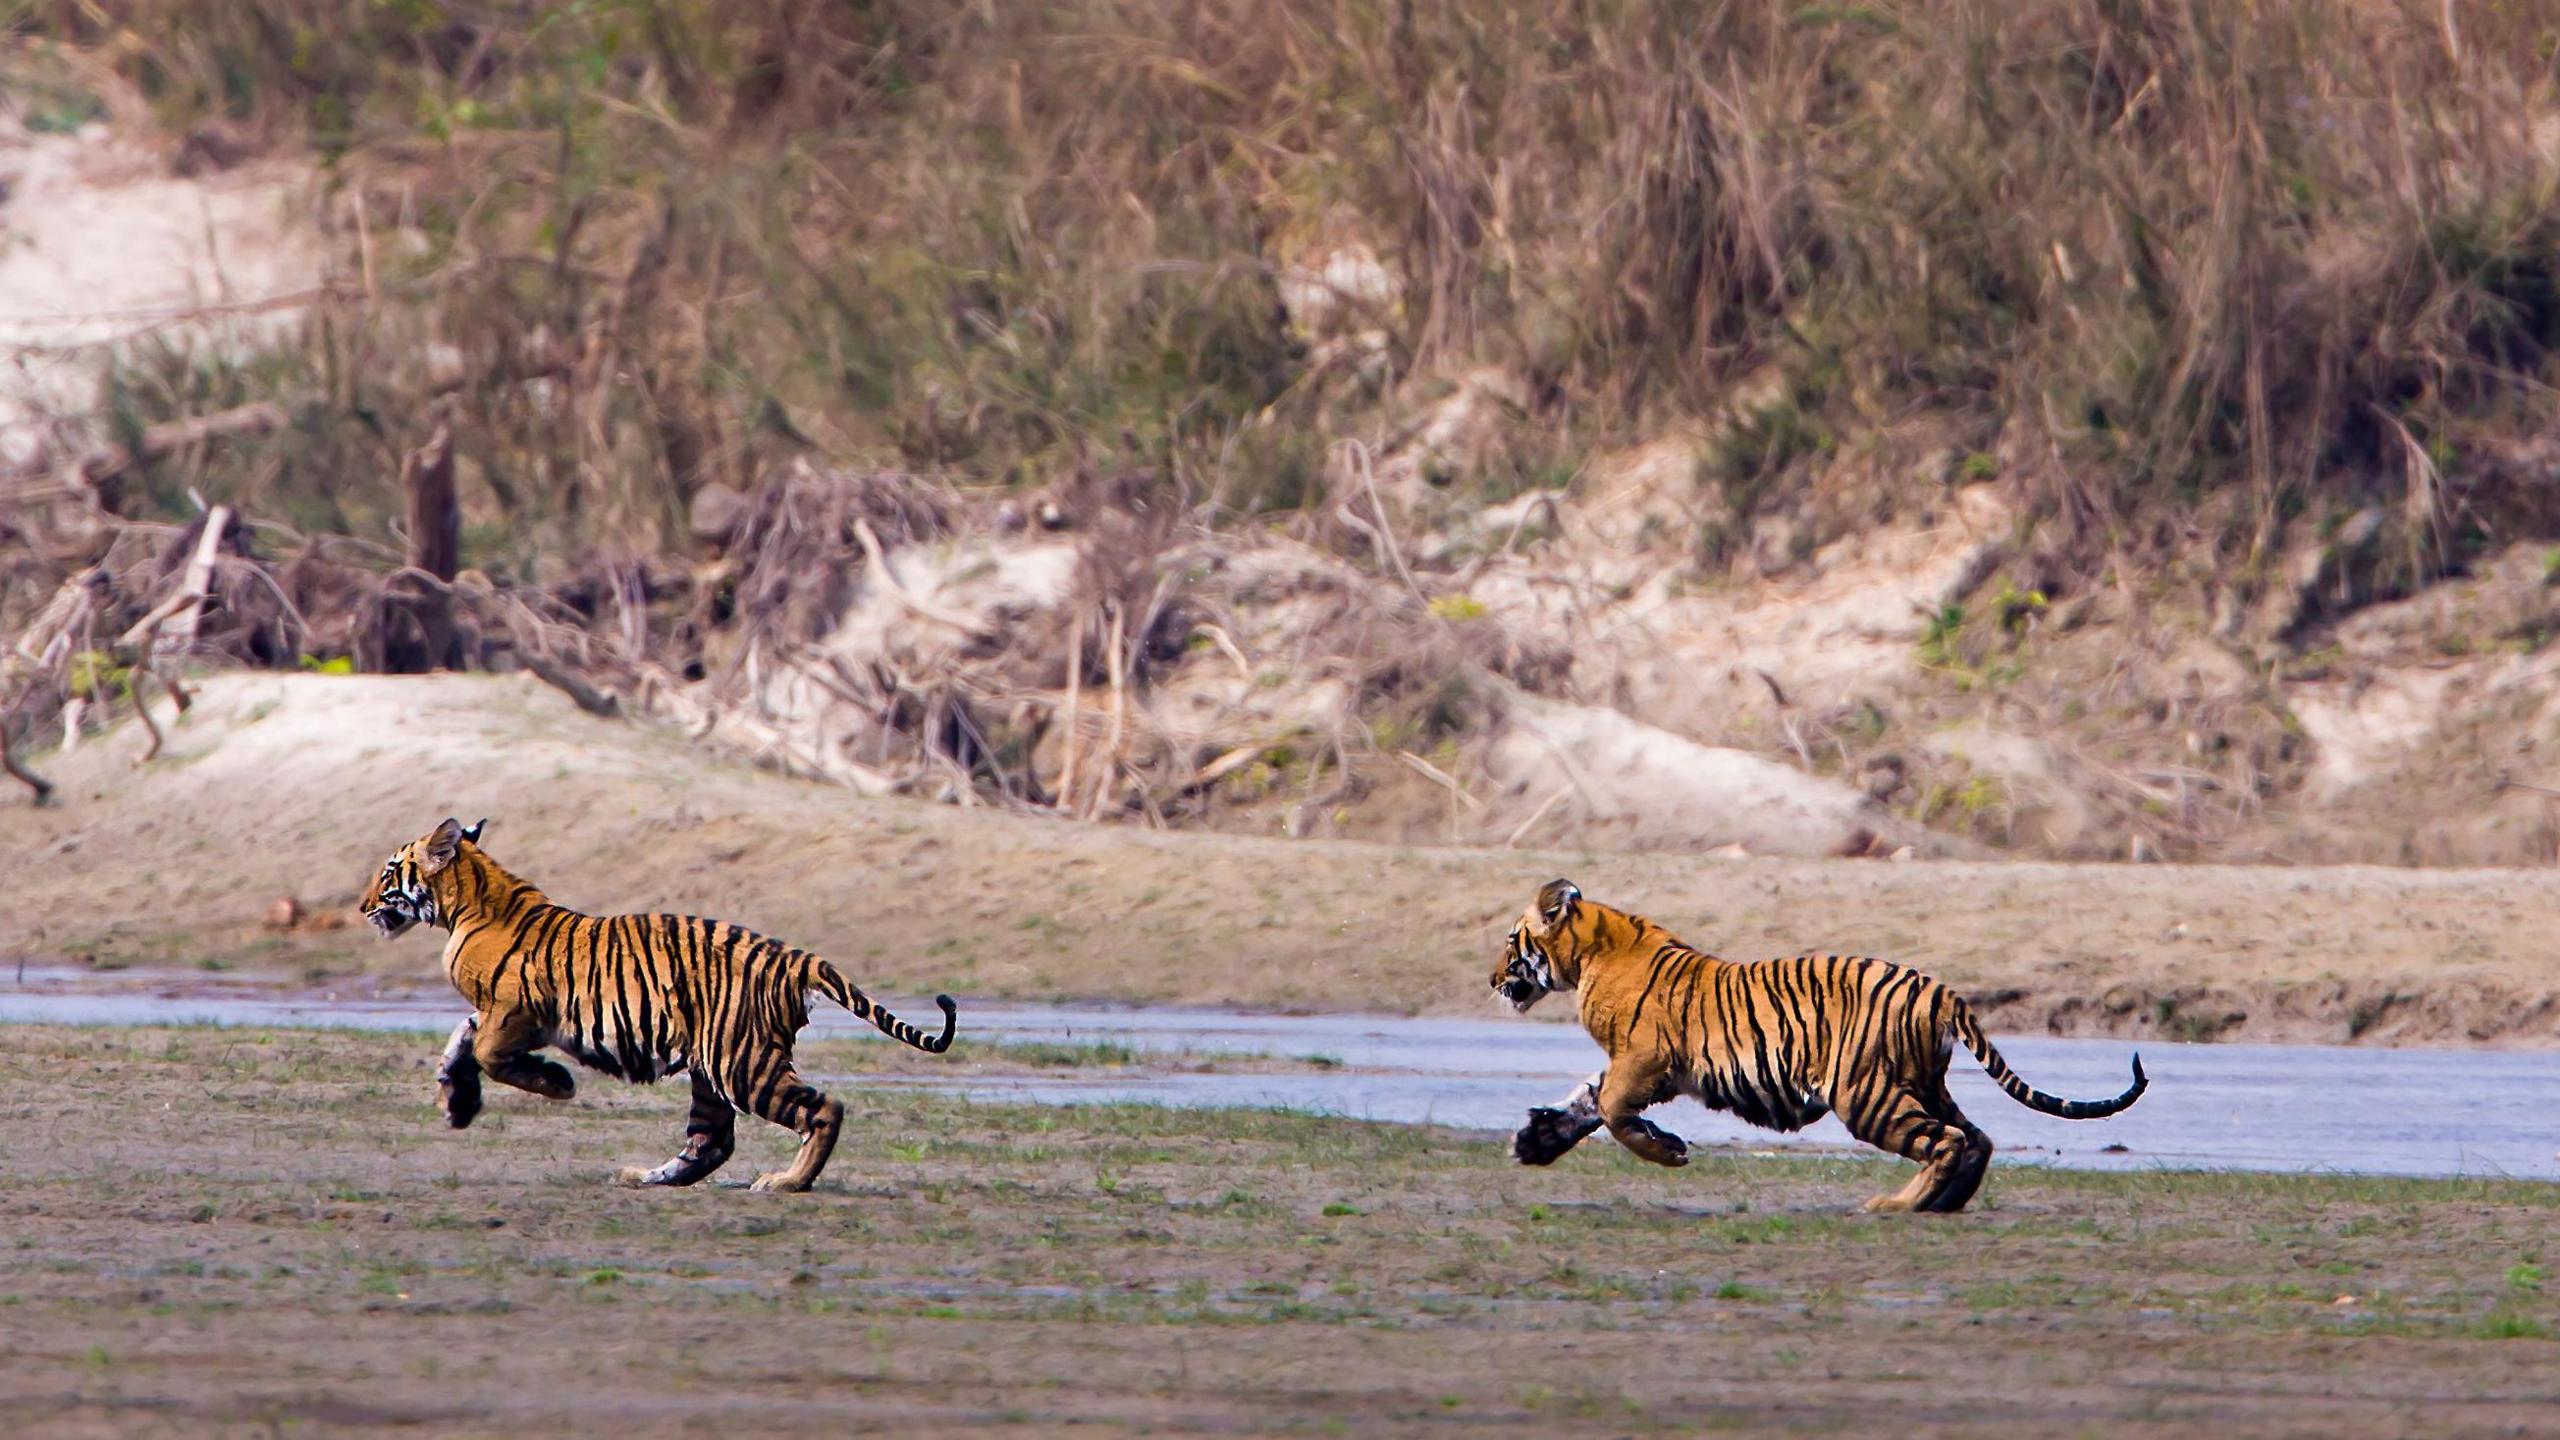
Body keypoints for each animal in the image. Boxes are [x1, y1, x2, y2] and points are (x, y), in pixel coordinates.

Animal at [360, 814, 962, 1194]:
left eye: (389, 871)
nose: (362, 905)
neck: (467, 903)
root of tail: (794, 956)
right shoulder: (501, 1015)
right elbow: (460, 1040)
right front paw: (457, 1102)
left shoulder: (515, 1010)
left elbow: (486, 1051)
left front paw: (556, 1083)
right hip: (712, 1068)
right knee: (711, 1142)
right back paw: (645, 1177)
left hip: (740, 1062)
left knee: (823, 1109)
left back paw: (787, 1183)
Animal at [1495, 876, 2140, 1209]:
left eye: (1510, 941)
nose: (1493, 979)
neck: (1589, 954)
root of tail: (1940, 989)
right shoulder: (1635, 1064)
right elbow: (1588, 1100)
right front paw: (1535, 1141)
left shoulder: (1645, 1059)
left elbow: (1610, 1108)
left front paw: (1667, 1149)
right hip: (1918, 1083)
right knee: (1977, 1137)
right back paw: (1944, 1204)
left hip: (1865, 1093)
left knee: (1948, 1141)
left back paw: (1895, 1206)